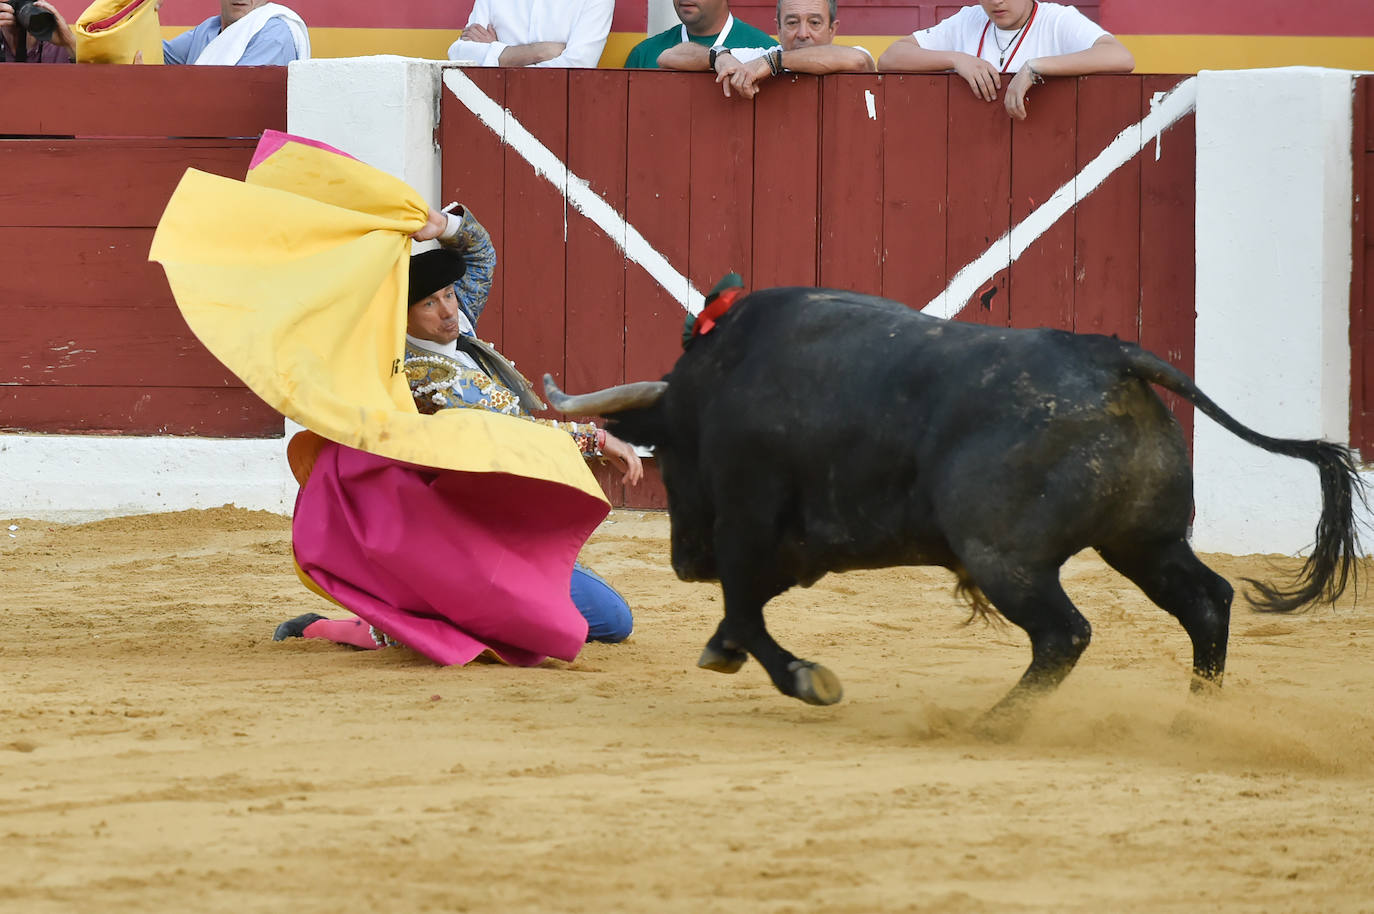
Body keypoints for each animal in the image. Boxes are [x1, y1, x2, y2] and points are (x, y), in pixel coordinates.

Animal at [544, 288, 1363, 731]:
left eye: (669, 447)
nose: (685, 562)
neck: (718, 382)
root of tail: (1110, 354)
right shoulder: (802, 547)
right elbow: (745, 609)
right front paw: (727, 650)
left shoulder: (752, 527)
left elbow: (745, 608)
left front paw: (804, 678)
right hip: (1145, 543)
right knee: (1207, 601)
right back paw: (1193, 718)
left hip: (1005, 558)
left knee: (1065, 633)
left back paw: (993, 724)